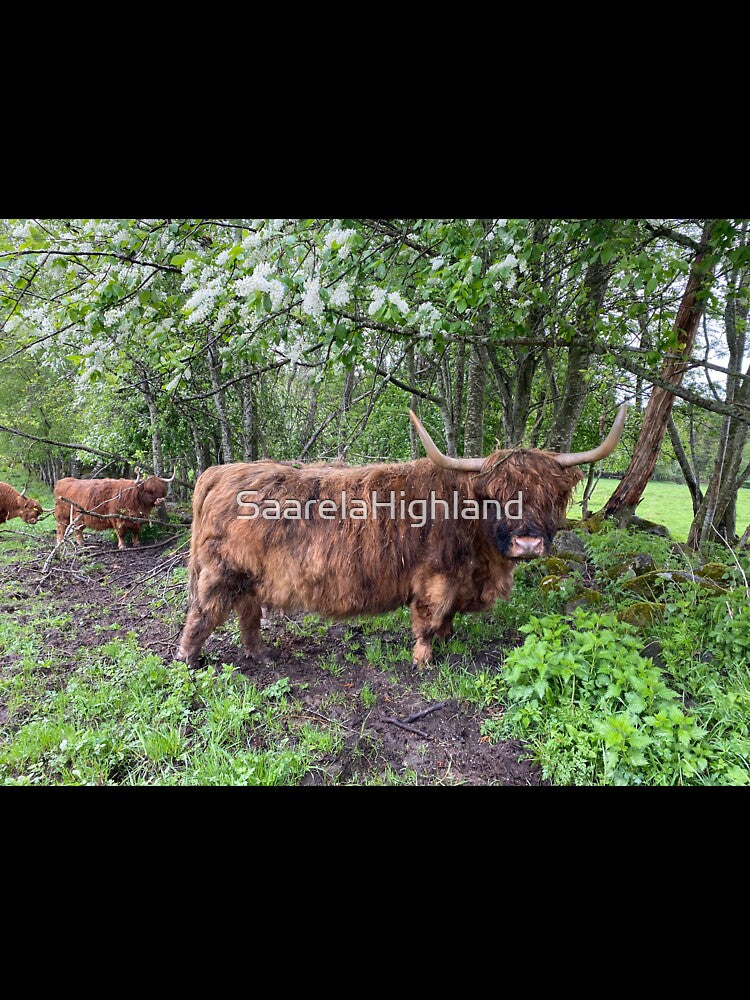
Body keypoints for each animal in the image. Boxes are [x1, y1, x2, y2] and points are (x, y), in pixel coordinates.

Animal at [175, 406, 627, 669]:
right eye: (495, 497)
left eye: (549, 496)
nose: (528, 543)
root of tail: (222, 472)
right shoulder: (435, 579)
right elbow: (428, 619)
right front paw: (424, 661)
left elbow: (447, 620)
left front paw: (448, 641)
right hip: (219, 573)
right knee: (202, 616)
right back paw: (188, 661)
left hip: (249, 577)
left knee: (248, 615)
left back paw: (261, 655)